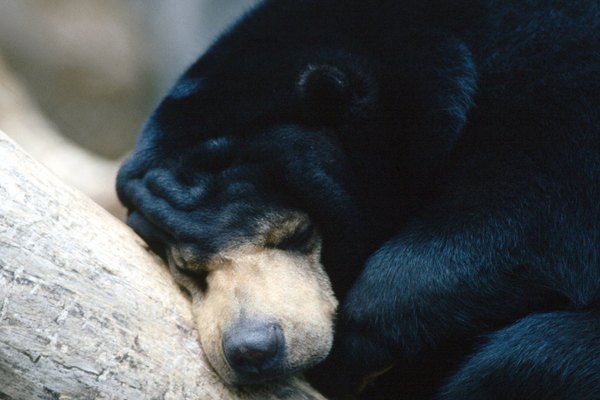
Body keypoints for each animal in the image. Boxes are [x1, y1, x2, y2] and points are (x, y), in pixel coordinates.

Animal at [116, 1, 600, 398]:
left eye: (298, 234)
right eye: (186, 267)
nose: (252, 348)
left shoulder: (560, 74)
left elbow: (526, 211)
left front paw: (350, 354)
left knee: (531, 359)